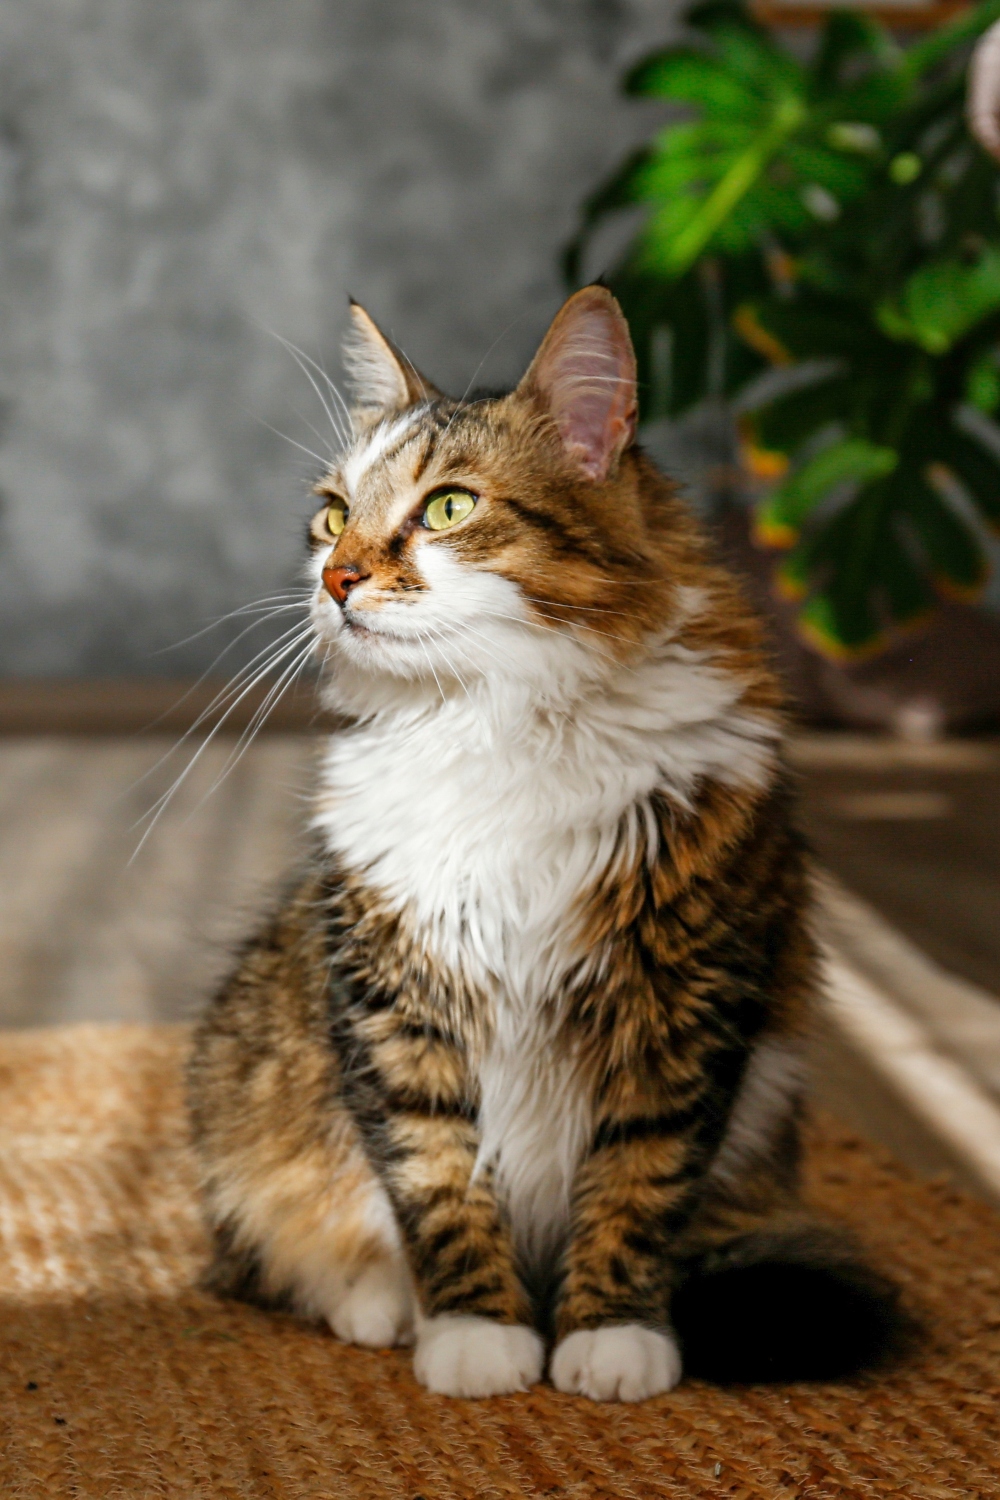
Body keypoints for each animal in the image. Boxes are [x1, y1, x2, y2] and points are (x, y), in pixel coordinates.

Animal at [187, 286, 899, 1398]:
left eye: (447, 508)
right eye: (334, 514)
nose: (336, 579)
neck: (497, 722)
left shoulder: (683, 1002)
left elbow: (638, 1186)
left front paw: (610, 1338)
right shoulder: (396, 1002)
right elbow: (436, 1183)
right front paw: (477, 1334)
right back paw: (378, 1304)